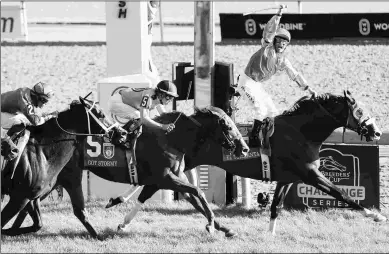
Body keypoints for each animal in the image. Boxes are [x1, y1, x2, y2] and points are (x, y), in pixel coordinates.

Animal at [1, 96, 107, 237]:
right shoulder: (20, 197)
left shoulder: (32, 197)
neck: (42, 153)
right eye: (101, 114)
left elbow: (37, 225)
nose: (118, 132)